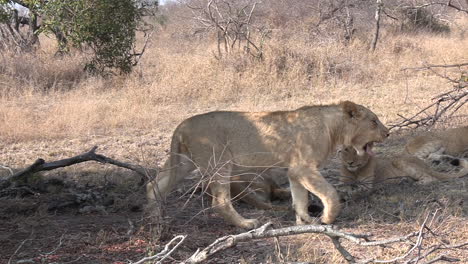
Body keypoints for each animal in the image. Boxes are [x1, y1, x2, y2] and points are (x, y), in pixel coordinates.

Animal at [148, 101, 390, 229]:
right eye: (373, 121)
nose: (388, 133)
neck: (333, 128)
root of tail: (182, 125)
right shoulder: (304, 167)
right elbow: (330, 193)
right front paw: (326, 218)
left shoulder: (295, 171)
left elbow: (300, 199)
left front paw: (304, 221)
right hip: (220, 163)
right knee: (220, 202)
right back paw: (247, 224)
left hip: (183, 164)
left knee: (154, 186)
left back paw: (155, 220)